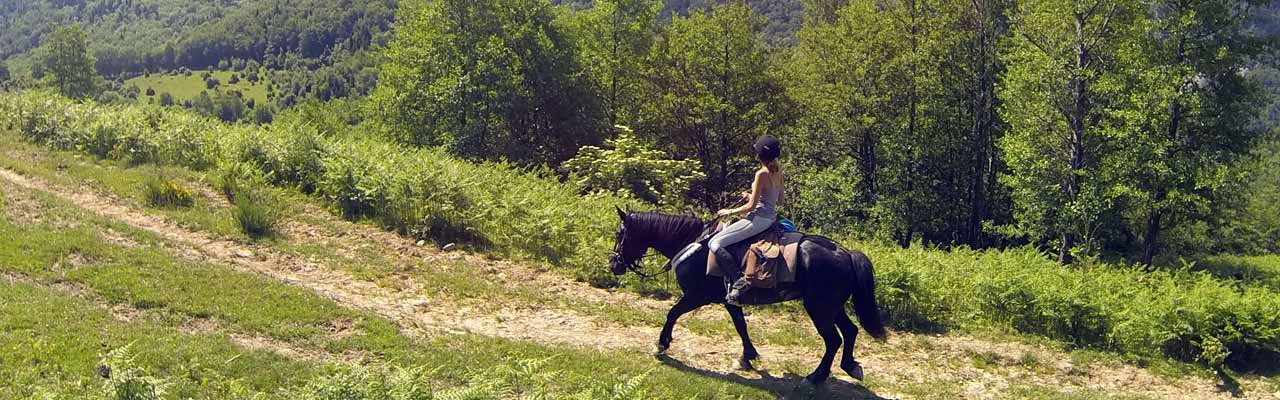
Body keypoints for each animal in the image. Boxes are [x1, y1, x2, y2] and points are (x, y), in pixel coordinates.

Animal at [606, 206, 885, 384]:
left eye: (620, 234)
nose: (614, 264)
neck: (694, 244)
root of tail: (846, 253)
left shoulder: (697, 295)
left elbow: (672, 312)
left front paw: (661, 344)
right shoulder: (729, 299)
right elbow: (740, 325)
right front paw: (747, 357)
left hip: (819, 308)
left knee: (834, 340)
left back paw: (816, 377)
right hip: (832, 307)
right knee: (850, 332)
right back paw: (850, 366)